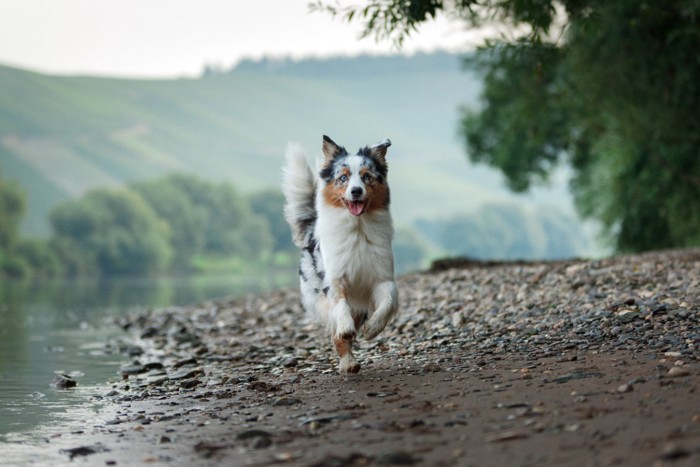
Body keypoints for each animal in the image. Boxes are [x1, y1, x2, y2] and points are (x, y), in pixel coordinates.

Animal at [282, 134, 396, 372]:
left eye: (367, 176)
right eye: (343, 177)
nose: (356, 191)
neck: (357, 228)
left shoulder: (382, 277)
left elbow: (388, 302)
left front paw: (372, 328)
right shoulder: (334, 278)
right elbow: (340, 307)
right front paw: (345, 327)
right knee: (337, 334)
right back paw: (348, 362)